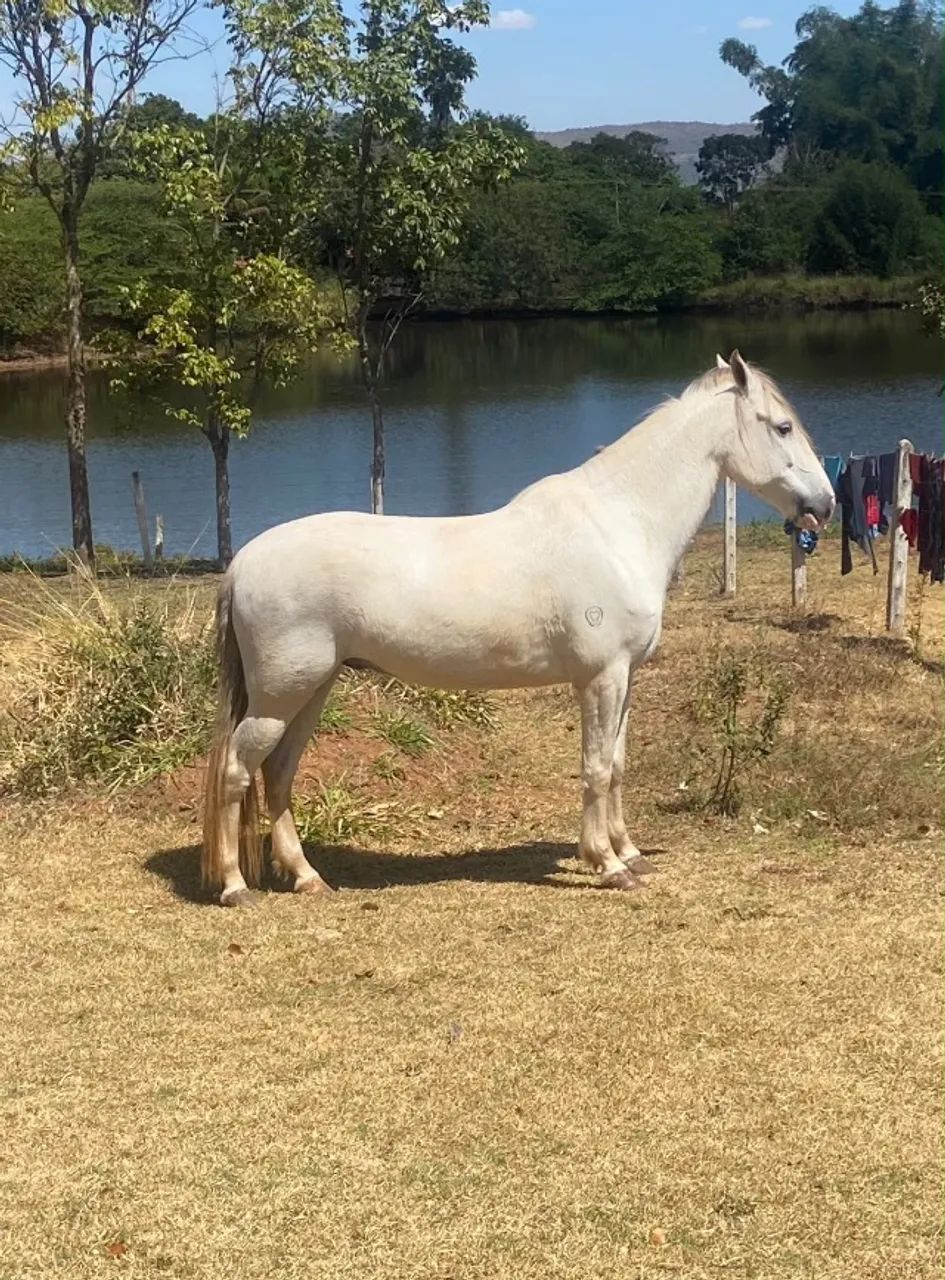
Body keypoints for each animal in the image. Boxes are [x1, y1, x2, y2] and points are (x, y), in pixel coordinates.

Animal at [201, 350, 835, 905]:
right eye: (782, 426)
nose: (824, 505)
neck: (618, 524)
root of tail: (243, 563)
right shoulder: (600, 679)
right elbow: (595, 769)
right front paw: (606, 864)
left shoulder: (626, 679)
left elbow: (618, 766)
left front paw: (630, 853)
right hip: (281, 696)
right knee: (237, 771)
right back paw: (234, 887)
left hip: (311, 691)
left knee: (278, 775)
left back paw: (307, 877)